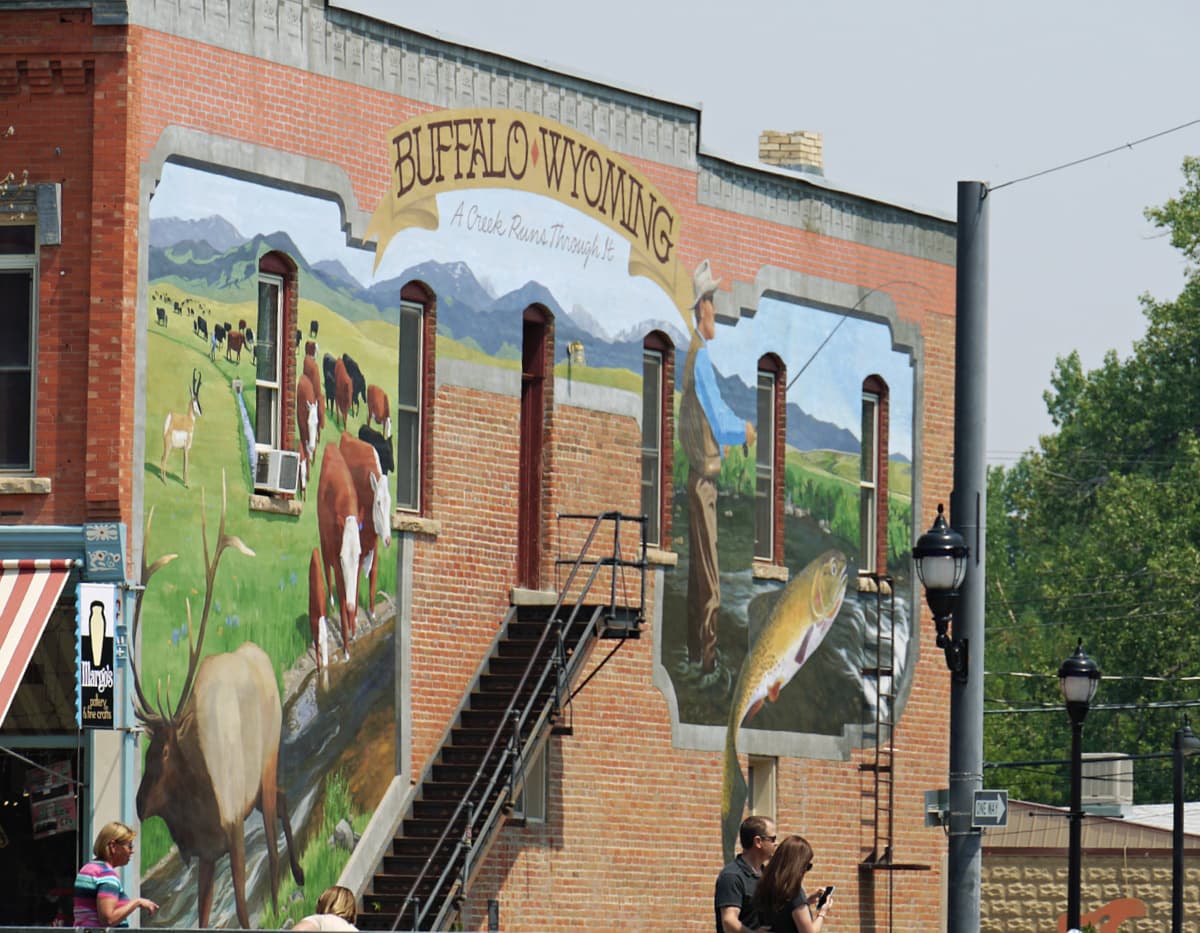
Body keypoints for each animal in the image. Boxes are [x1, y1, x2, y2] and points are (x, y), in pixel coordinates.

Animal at [132, 477, 304, 925]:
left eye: (163, 755)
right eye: (145, 751)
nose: (137, 805)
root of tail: (260, 654)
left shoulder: (233, 829)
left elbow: (243, 909)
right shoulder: (208, 853)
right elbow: (204, 914)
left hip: (267, 761)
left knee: (274, 829)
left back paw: (283, 892)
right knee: (282, 799)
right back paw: (296, 876)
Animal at [338, 431, 393, 623]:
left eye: (390, 504)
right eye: (378, 503)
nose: (388, 539)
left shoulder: (374, 543)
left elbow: (374, 574)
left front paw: (372, 612)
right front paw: (354, 617)